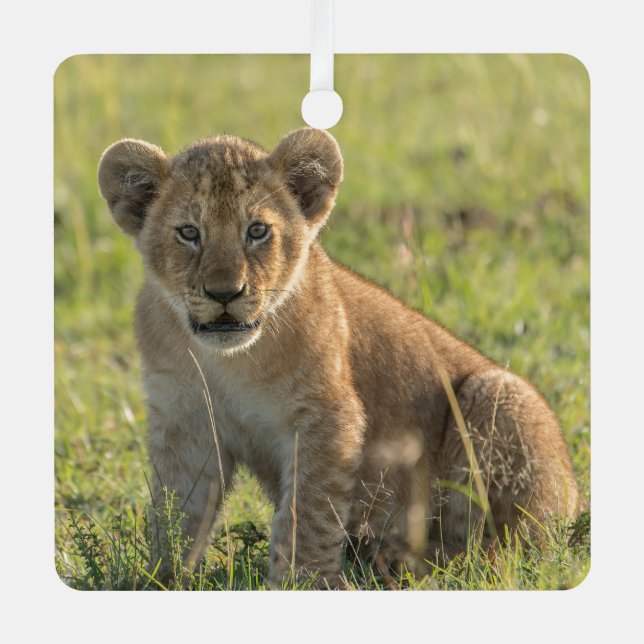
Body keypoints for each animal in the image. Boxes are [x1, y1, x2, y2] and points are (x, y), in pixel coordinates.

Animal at [98, 128, 581, 588]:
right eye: (189, 233)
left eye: (257, 231)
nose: (224, 294)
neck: (228, 361)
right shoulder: (185, 423)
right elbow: (177, 510)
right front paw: (161, 580)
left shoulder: (328, 414)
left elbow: (307, 509)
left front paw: (304, 582)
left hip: (499, 393)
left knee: (500, 555)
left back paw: (399, 563)